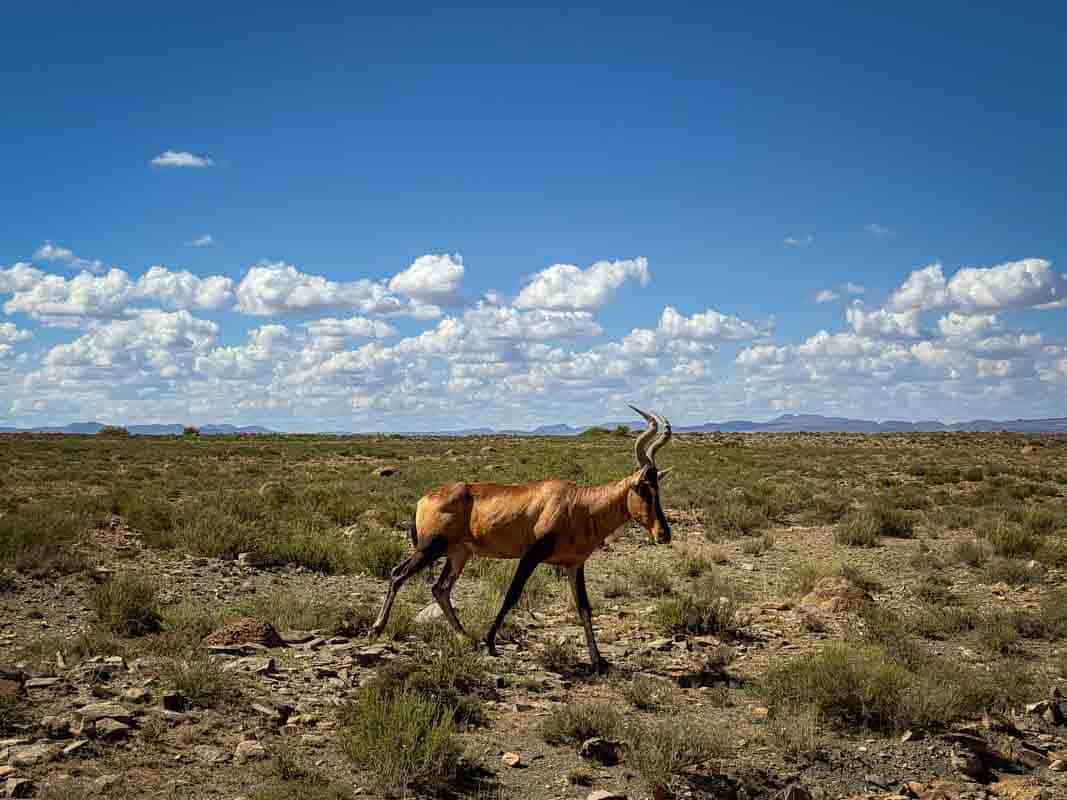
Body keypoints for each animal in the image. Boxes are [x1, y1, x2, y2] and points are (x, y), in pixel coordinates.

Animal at [371, 403, 670, 674]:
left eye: (658, 487)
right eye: (643, 488)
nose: (663, 534)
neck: (577, 502)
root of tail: (424, 499)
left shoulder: (574, 565)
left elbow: (584, 607)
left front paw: (600, 661)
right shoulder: (531, 556)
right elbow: (512, 595)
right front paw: (491, 643)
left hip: (458, 554)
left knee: (439, 589)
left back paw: (465, 636)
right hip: (429, 548)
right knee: (398, 574)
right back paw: (376, 629)